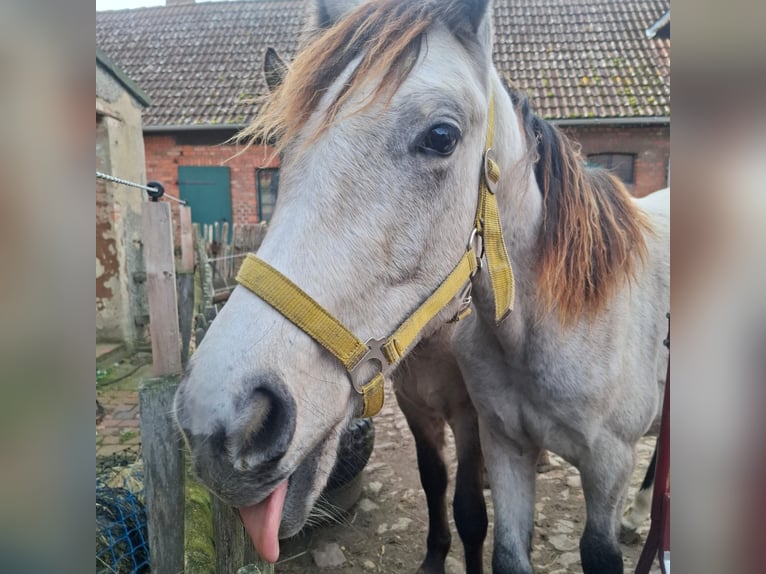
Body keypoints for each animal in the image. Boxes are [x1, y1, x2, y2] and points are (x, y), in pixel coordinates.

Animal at [174, 2, 670, 574]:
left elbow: (472, 509)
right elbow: (437, 483)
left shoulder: (572, 453)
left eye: (441, 137)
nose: (220, 419)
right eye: (284, 152)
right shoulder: (428, 413)